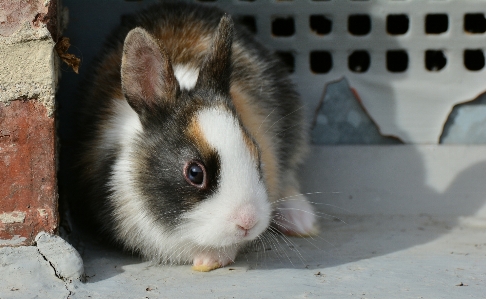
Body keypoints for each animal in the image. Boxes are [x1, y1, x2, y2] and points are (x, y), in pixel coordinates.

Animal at [71, 2, 316, 274]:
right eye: (195, 173)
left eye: (256, 154)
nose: (248, 222)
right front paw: (210, 257)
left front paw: (212, 258)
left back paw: (300, 220)